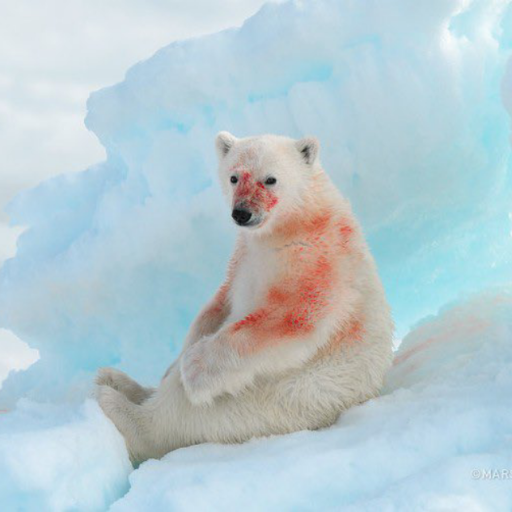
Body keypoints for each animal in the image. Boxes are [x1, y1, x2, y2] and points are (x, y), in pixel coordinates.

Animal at [95, 133, 392, 464]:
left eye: (270, 179)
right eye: (234, 177)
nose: (242, 213)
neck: (293, 225)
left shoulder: (317, 260)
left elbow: (290, 318)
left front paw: (193, 368)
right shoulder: (243, 256)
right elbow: (218, 305)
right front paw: (177, 361)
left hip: (273, 398)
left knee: (183, 417)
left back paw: (115, 400)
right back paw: (120, 381)